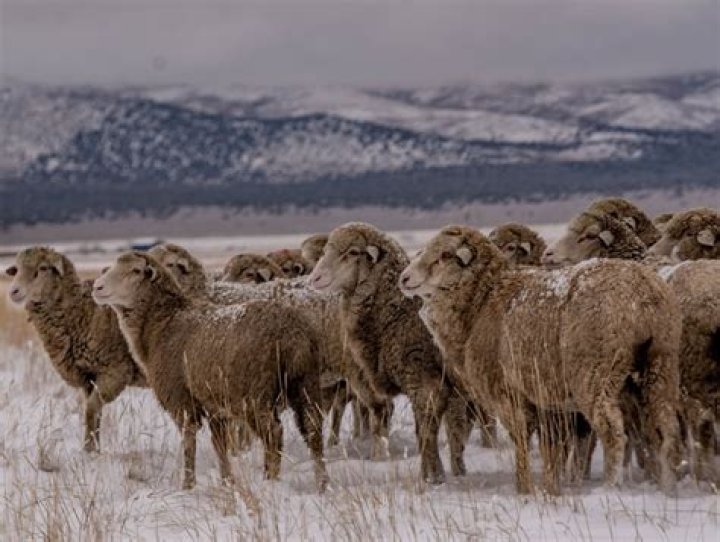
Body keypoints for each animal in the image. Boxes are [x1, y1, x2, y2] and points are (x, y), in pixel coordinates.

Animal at [5, 247, 145, 452]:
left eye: (43, 268)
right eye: (16, 269)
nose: (14, 291)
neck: (84, 313)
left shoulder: (116, 371)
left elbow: (91, 410)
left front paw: (90, 451)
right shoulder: (89, 378)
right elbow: (95, 414)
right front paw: (92, 448)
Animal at [92, 251, 329, 491]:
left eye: (135, 270)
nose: (97, 287)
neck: (161, 325)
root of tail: (292, 334)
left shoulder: (181, 401)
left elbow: (189, 442)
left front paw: (188, 485)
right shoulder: (215, 407)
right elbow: (220, 446)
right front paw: (227, 482)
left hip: (256, 395)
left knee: (274, 433)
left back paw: (269, 481)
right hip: (305, 384)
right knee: (313, 430)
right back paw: (322, 483)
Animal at [308, 222, 492, 484]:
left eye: (353, 252)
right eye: (325, 251)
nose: (315, 278)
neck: (397, 312)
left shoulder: (423, 380)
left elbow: (426, 431)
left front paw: (432, 477)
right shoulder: (452, 389)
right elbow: (454, 434)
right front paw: (456, 473)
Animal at [399, 226, 682, 494]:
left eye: (445, 255)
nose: (404, 278)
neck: (482, 301)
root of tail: (642, 294)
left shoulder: (509, 395)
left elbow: (522, 441)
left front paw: (524, 488)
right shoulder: (548, 401)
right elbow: (552, 449)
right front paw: (551, 485)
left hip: (595, 374)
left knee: (613, 433)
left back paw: (612, 487)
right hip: (661, 365)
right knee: (665, 427)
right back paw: (667, 484)